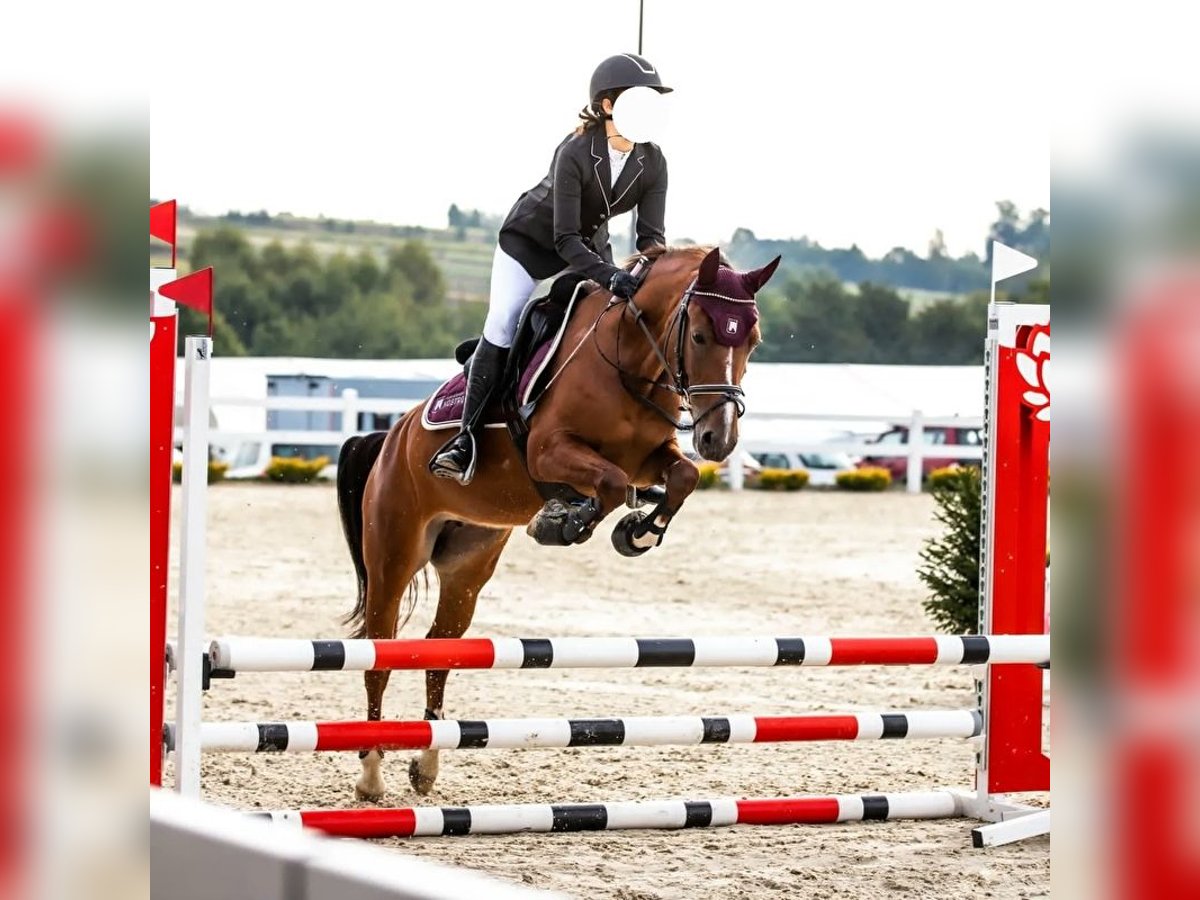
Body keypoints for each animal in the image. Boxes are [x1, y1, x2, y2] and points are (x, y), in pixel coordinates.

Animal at [336, 243, 777, 801]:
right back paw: (371, 774)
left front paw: (639, 531)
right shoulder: (550, 452)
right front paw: (564, 520)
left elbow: (681, 476)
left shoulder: (651, 457)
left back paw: (427, 764)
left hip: (467, 567)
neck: (630, 357)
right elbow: (609, 482)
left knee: (440, 649)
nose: (720, 438)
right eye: (699, 334)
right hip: (394, 556)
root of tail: (389, 437)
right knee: (381, 653)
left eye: (753, 341)